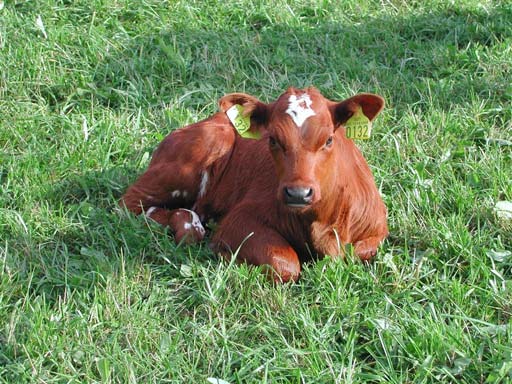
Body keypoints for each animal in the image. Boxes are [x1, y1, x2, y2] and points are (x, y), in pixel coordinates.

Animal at [121, 88, 388, 284]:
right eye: (273, 139)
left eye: (329, 140)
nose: (298, 193)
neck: (320, 223)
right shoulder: (238, 220)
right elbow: (286, 264)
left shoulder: (377, 227)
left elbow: (356, 253)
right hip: (206, 146)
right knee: (129, 204)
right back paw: (189, 224)